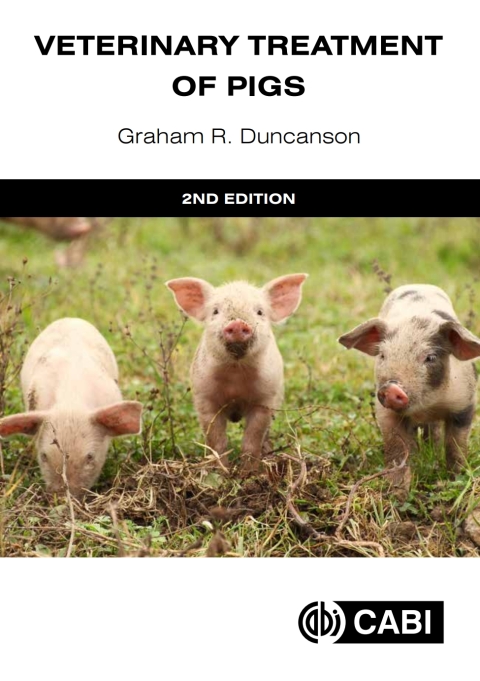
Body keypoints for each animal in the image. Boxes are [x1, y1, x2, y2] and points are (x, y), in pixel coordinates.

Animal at [166, 274, 308, 474]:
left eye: (259, 312)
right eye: (215, 311)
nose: (238, 323)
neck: (235, 375)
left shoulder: (265, 400)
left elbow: (251, 440)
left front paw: (248, 474)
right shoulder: (204, 398)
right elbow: (216, 441)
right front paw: (221, 473)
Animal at [339, 284, 480, 497]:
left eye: (430, 357)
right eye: (382, 355)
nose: (391, 388)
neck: (426, 406)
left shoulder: (464, 403)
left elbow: (456, 446)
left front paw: (456, 478)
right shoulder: (386, 413)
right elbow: (397, 450)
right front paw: (397, 494)